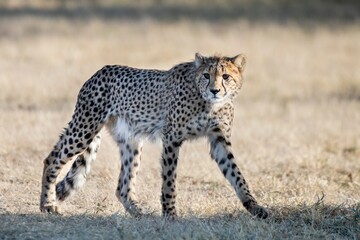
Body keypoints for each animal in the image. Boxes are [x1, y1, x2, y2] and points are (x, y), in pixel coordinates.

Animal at [40, 53, 268, 218]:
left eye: (226, 77)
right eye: (206, 75)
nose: (215, 90)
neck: (209, 103)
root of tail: (99, 72)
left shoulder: (219, 140)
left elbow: (237, 175)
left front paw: (255, 207)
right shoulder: (172, 138)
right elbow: (169, 180)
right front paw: (170, 214)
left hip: (131, 142)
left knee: (122, 187)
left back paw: (140, 214)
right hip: (85, 128)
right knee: (52, 159)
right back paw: (47, 205)